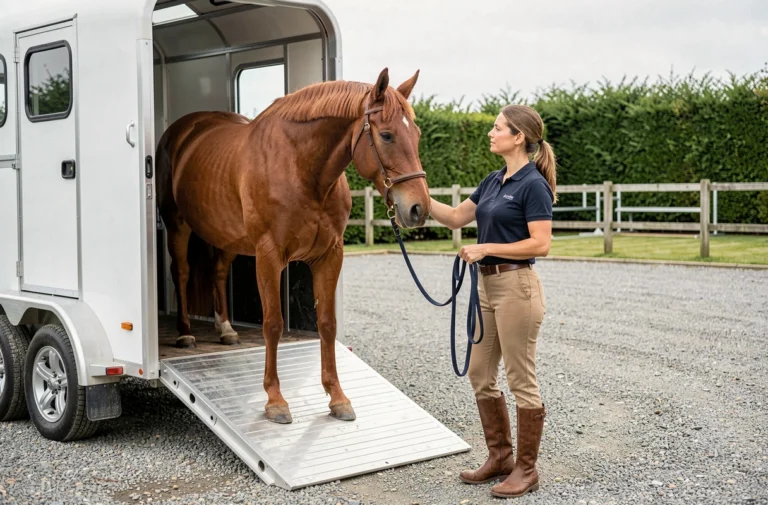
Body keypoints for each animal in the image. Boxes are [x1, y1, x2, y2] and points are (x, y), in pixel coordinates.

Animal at [155, 68, 430, 424]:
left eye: (418, 134)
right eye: (386, 135)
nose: (418, 209)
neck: (301, 168)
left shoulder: (330, 256)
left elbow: (327, 324)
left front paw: (338, 398)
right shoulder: (268, 256)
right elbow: (273, 325)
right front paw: (275, 401)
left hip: (227, 236)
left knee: (217, 273)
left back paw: (226, 329)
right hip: (178, 225)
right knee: (183, 273)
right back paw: (186, 333)